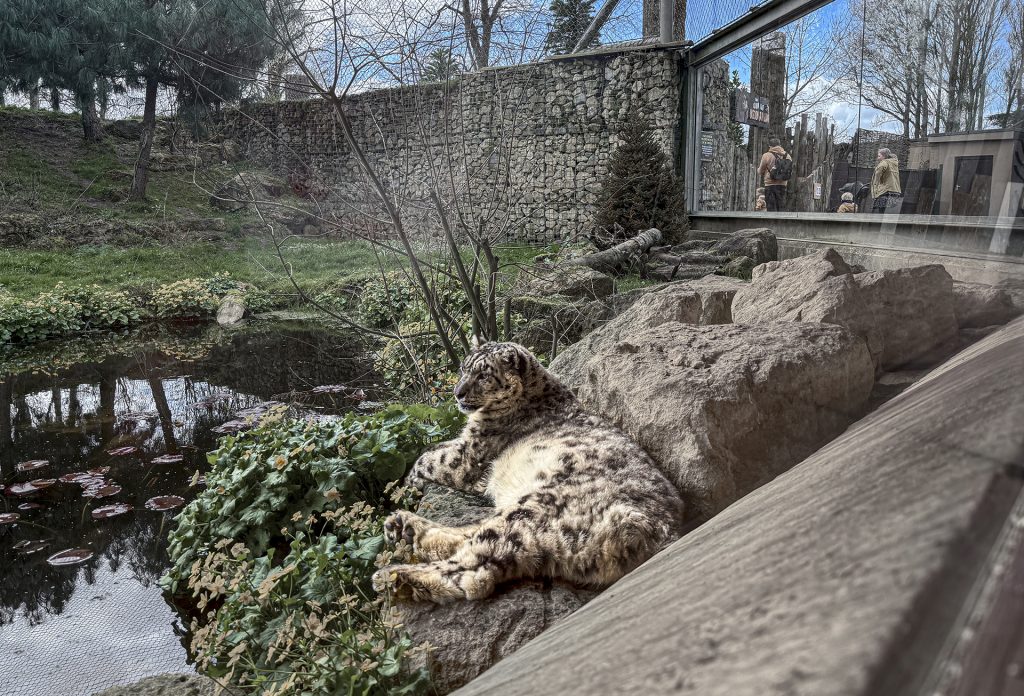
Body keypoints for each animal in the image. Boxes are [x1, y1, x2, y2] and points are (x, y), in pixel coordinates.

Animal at [372, 339, 684, 601]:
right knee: (473, 534)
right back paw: (404, 527)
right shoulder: (462, 442)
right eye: (463, 368)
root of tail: (661, 533)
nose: (458, 393)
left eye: (483, 375)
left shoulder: (467, 456)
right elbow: (432, 448)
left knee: (475, 569)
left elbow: (426, 460)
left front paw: (403, 485)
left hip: (533, 510)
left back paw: (394, 575)